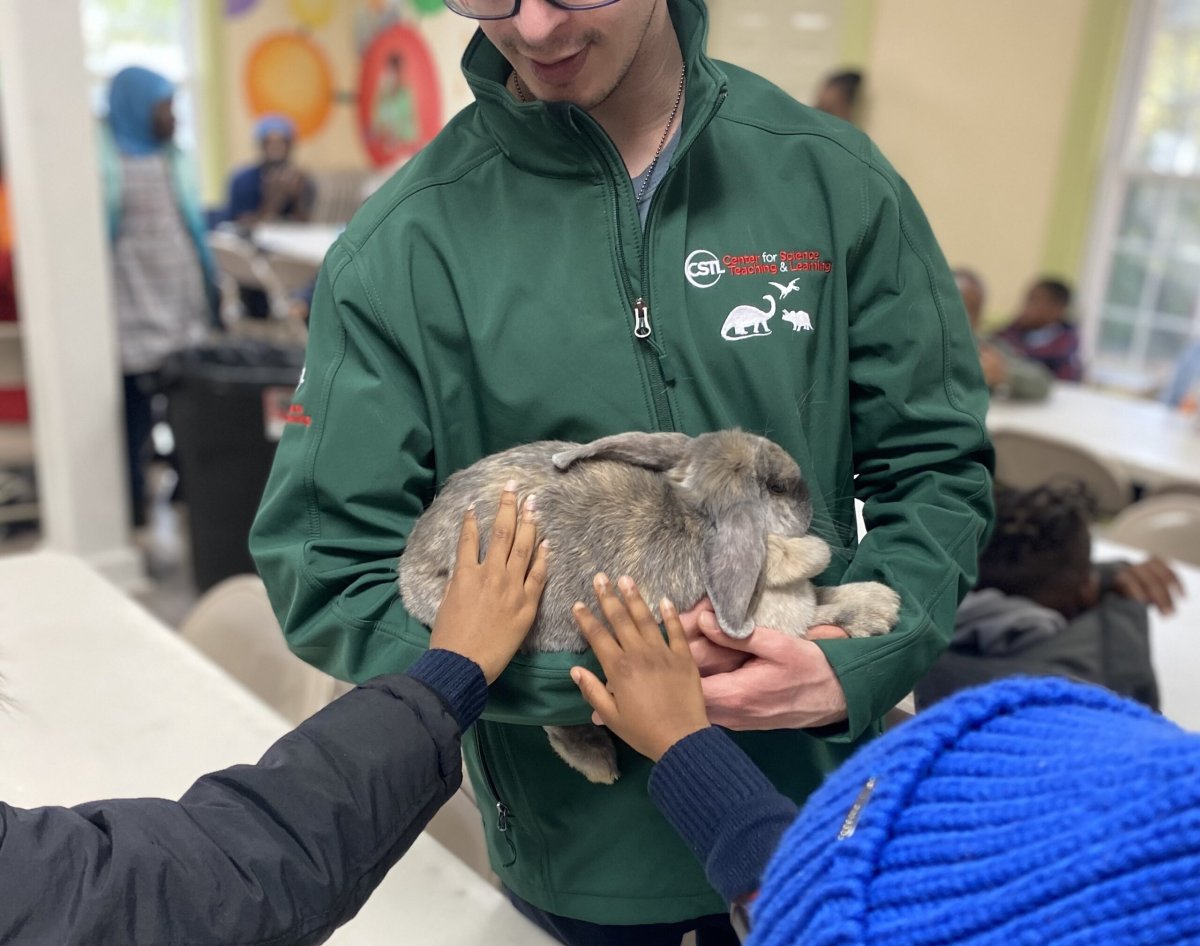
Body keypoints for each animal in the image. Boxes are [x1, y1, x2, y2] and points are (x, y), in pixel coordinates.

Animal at [398, 429, 897, 782]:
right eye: (776, 487)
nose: (807, 496)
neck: (697, 519)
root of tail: (410, 567)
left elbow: (824, 597)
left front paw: (880, 603)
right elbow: (817, 611)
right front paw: (879, 608)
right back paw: (598, 762)